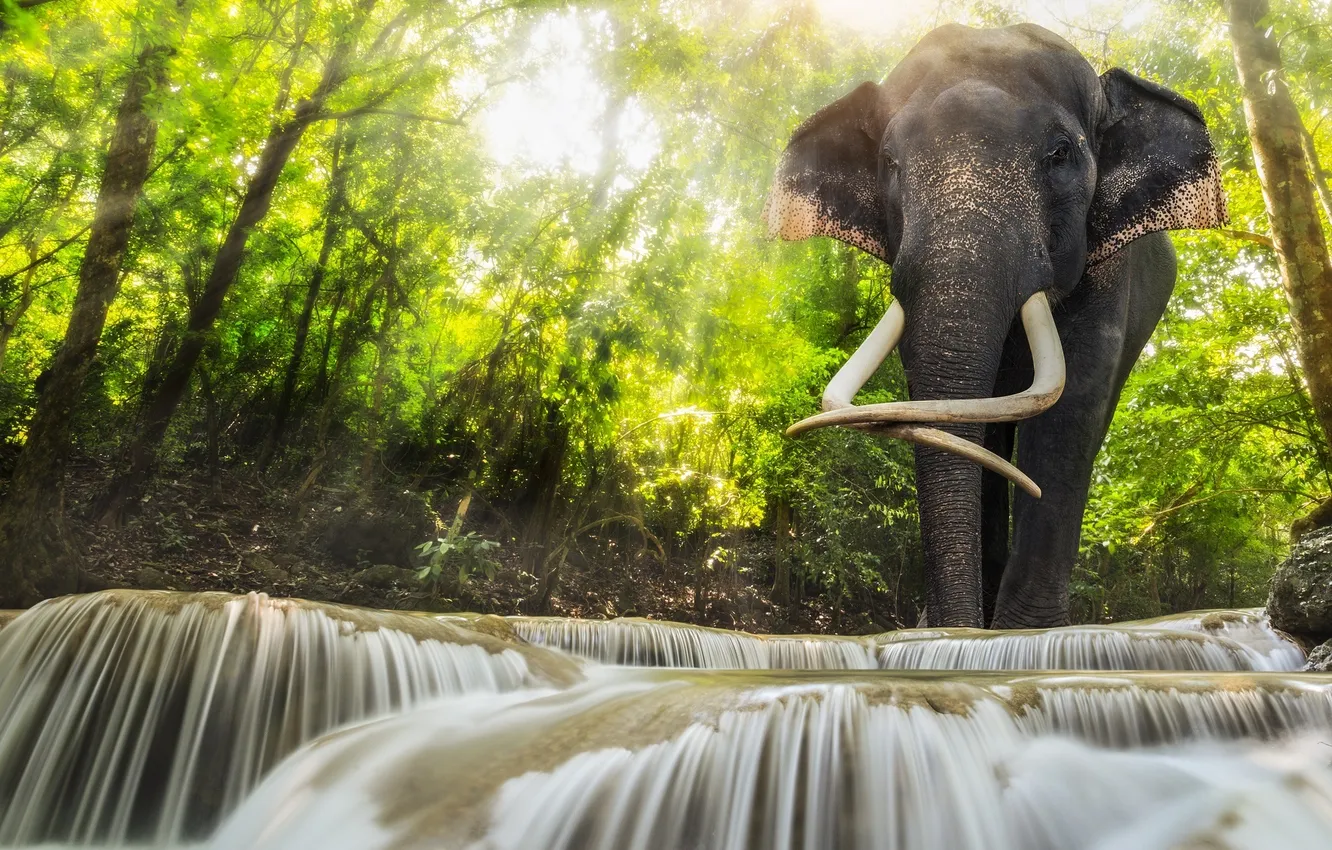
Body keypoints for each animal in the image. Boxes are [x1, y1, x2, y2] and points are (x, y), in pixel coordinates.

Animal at [762, 23, 1227, 628]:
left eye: (1060, 154)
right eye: (889, 162)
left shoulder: (1107, 269)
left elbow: (1071, 407)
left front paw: (1025, 635)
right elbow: (953, 415)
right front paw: (959, 630)